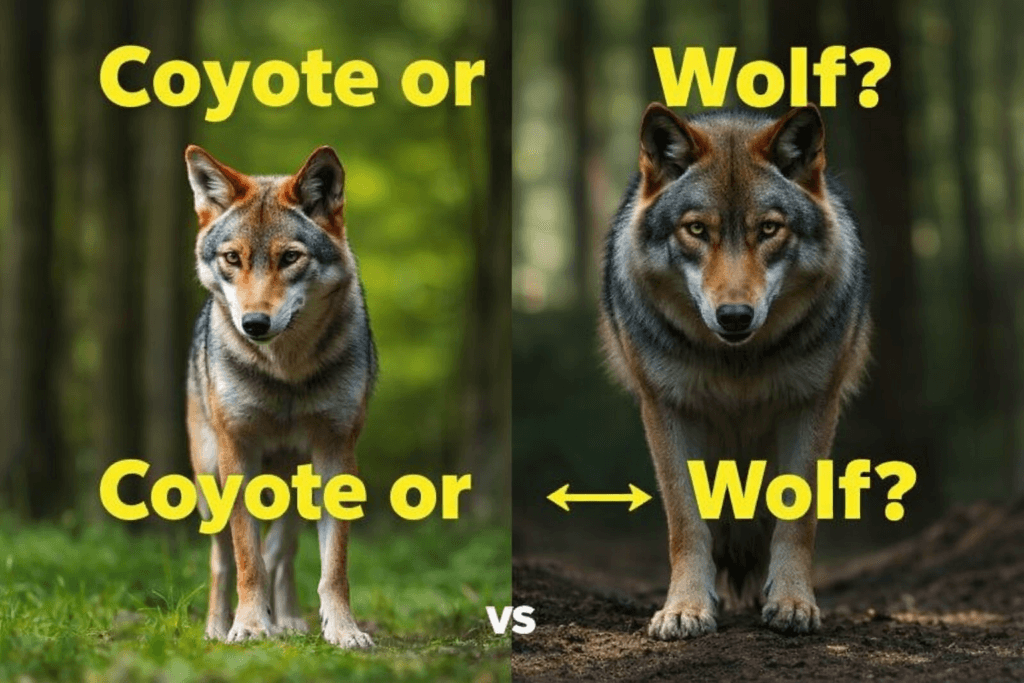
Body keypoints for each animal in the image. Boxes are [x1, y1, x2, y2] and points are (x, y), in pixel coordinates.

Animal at [184, 145, 377, 648]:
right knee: (222, 559)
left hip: (297, 483)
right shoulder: (237, 451)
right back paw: (219, 627)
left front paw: (344, 630)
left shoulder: (337, 451)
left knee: (283, 550)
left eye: (290, 257)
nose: (254, 323)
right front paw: (249, 626)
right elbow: (246, 559)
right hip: (210, 478)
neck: (286, 371)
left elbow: (333, 566)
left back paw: (287, 619)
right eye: (233, 258)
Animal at [599, 104, 871, 639]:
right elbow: (685, 521)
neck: (737, 363)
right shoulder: (666, 406)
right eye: (696, 230)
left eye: (768, 229)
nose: (735, 317)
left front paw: (793, 602)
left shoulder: (812, 403)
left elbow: (798, 517)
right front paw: (685, 608)